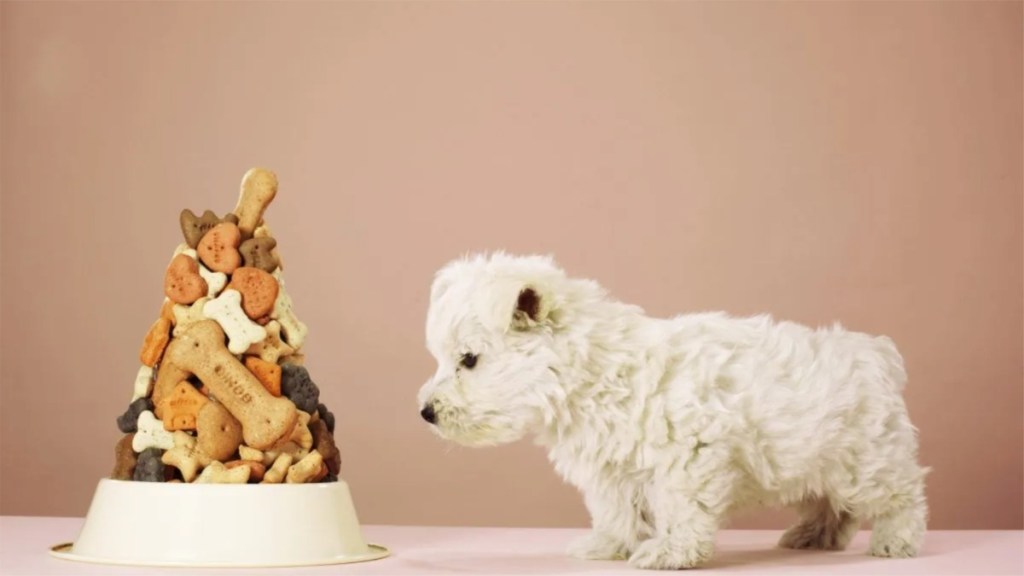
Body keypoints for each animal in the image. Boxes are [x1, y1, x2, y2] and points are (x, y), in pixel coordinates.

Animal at [415, 253, 929, 565]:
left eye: (469, 359)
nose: (426, 412)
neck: (597, 370)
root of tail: (873, 352)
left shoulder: (690, 456)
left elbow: (681, 507)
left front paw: (671, 552)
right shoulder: (609, 470)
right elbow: (615, 511)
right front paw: (608, 545)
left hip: (867, 457)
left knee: (901, 494)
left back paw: (896, 540)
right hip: (809, 459)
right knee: (830, 504)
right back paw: (814, 536)